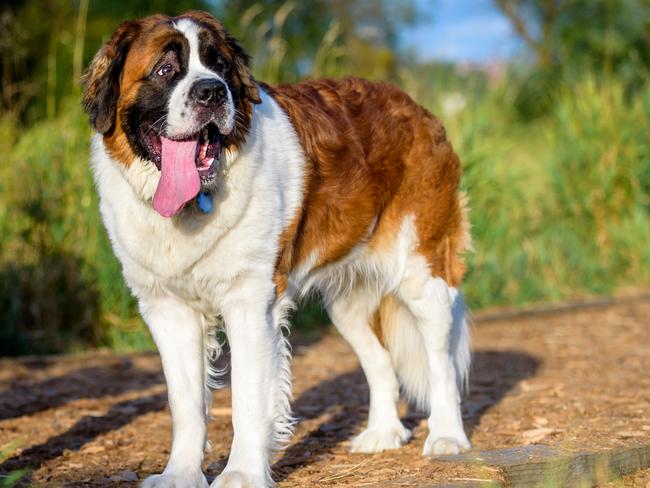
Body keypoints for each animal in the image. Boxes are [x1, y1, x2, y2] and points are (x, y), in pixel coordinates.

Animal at [83, 10, 470, 488]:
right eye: (165, 69)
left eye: (220, 66)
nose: (212, 91)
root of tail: (417, 109)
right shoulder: (168, 310)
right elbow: (185, 404)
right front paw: (180, 474)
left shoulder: (251, 302)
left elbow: (249, 399)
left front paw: (241, 474)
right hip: (348, 304)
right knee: (379, 361)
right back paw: (382, 433)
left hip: (422, 272)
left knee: (441, 359)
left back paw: (447, 437)